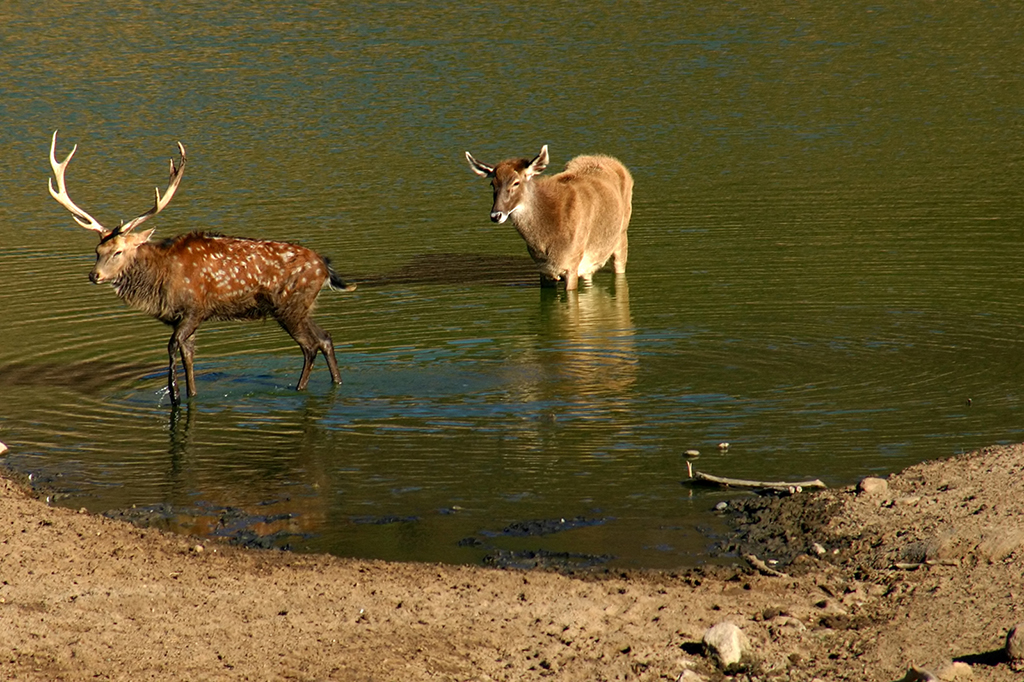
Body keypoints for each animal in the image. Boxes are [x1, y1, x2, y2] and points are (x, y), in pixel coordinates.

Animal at [48, 131, 356, 403]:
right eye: (97, 251)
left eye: (118, 251)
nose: (94, 275)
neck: (160, 281)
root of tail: (325, 267)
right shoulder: (182, 318)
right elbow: (189, 356)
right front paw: (190, 394)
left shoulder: (195, 308)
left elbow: (173, 348)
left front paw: (174, 396)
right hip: (302, 307)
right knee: (325, 338)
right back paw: (337, 383)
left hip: (289, 306)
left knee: (310, 345)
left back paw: (299, 389)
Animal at [466, 144, 630, 288]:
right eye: (492, 184)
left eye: (516, 182)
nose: (496, 215)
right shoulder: (544, 270)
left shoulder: (572, 263)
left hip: (621, 236)